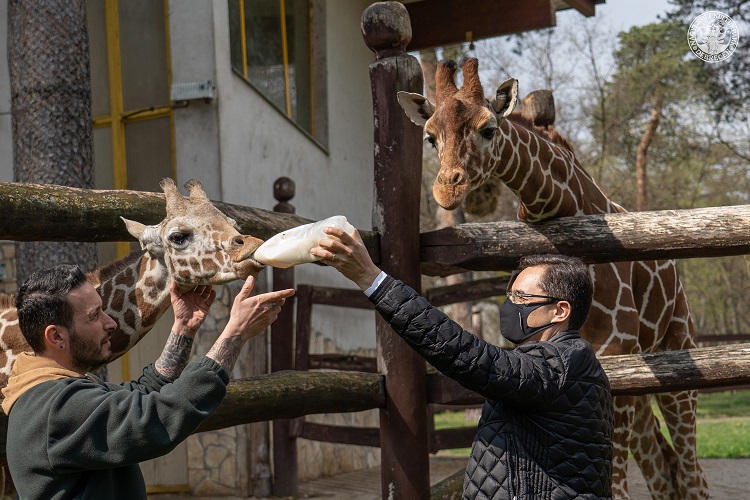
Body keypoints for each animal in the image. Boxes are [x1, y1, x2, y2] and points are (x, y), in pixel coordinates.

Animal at [398, 58, 708, 500]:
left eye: (488, 129)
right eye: (429, 137)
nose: (446, 190)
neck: (560, 204)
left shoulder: (617, 346)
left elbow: (614, 481)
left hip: (677, 348)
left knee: (692, 471)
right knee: (665, 469)